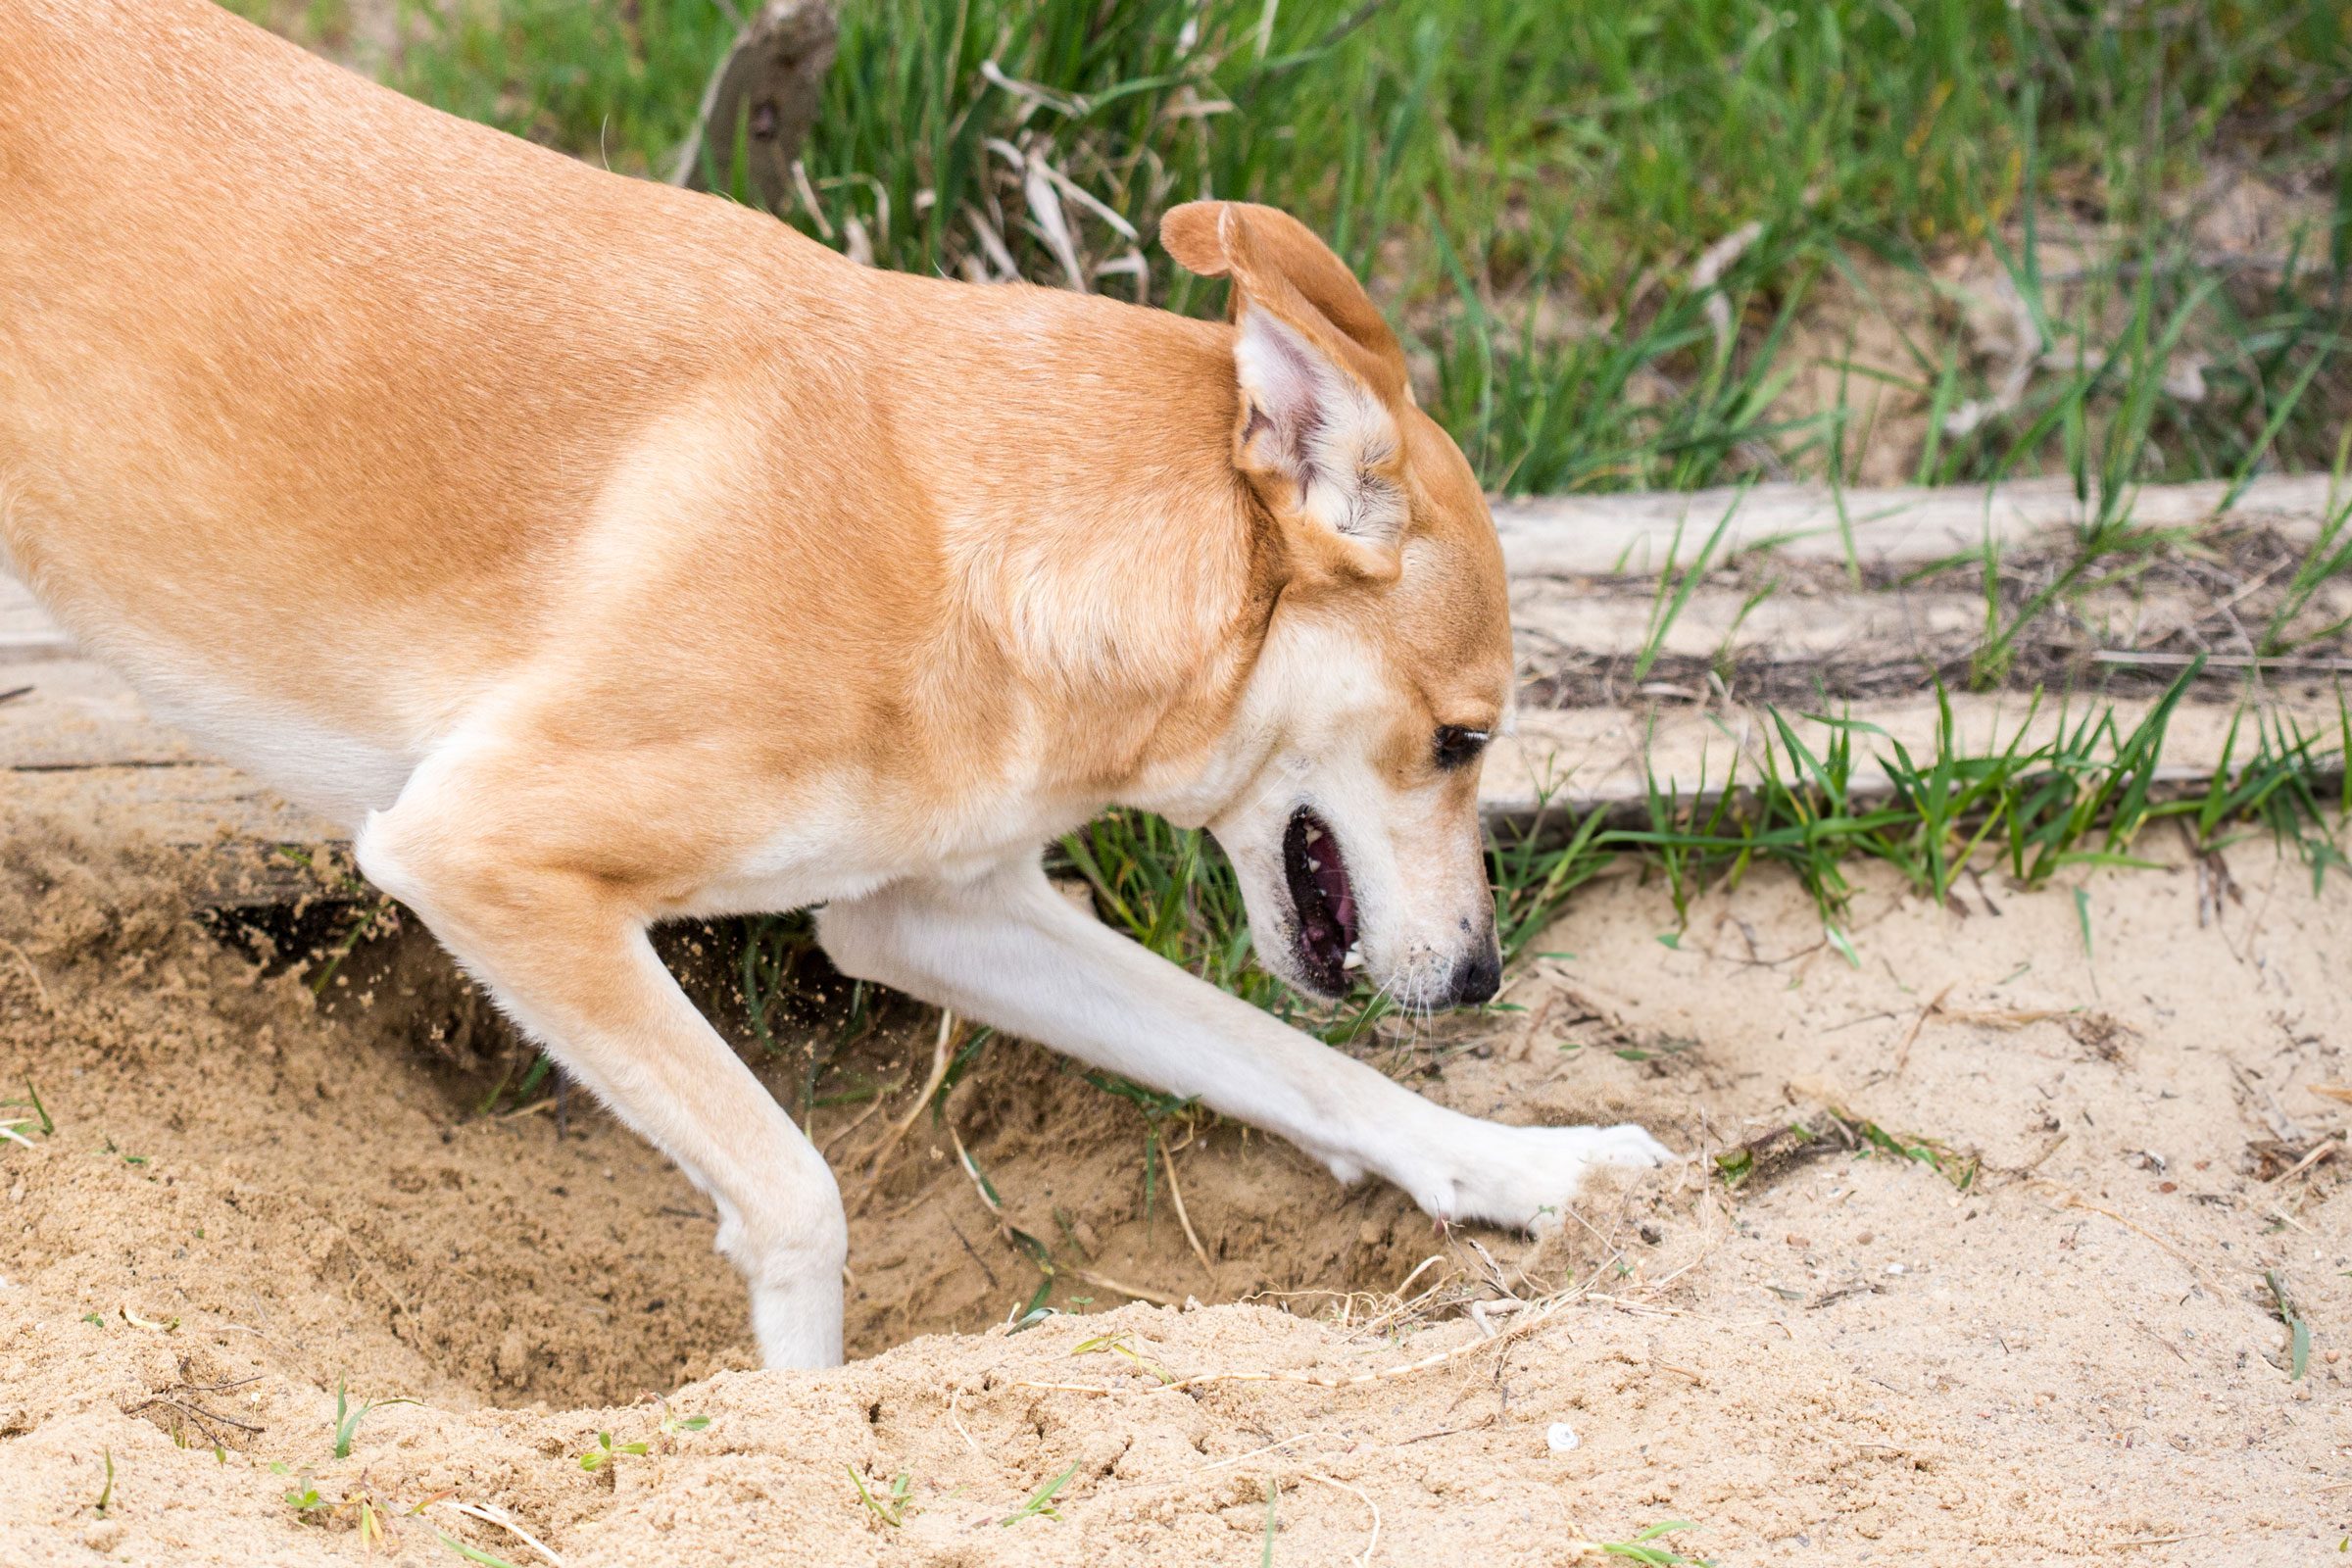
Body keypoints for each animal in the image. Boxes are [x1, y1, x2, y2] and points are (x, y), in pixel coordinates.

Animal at [0, 0, 1674, 1363]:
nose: (1483, 980)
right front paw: (796, 1419)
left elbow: (1300, 1068)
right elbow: (799, 1202)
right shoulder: (485, 859)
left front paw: (1528, 1170)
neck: (956, 532)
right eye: (1462, 738)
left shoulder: (938, 909)